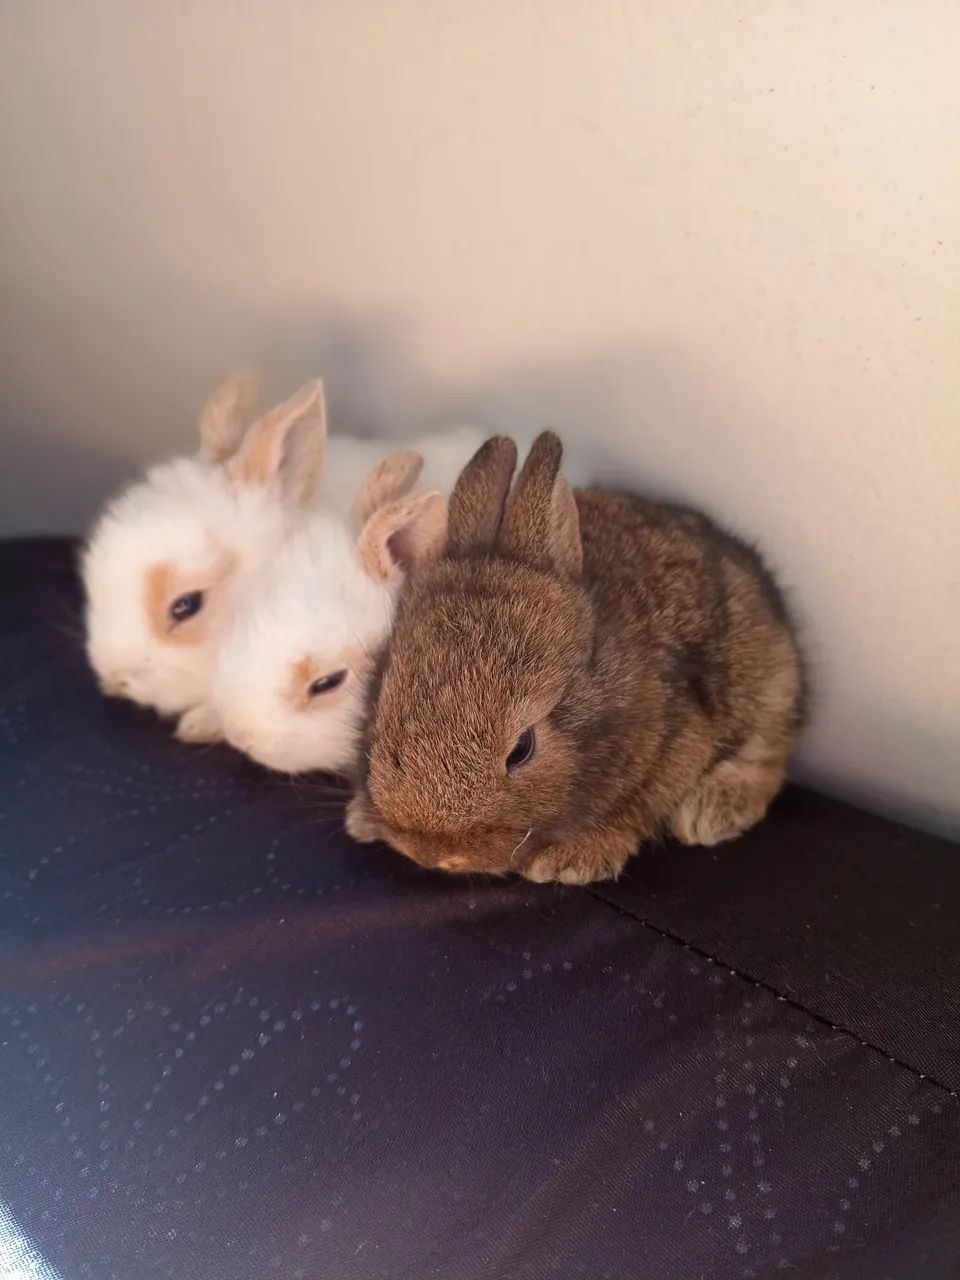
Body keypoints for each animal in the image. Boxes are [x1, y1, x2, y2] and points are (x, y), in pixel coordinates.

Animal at [345, 432, 805, 884]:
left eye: (522, 749)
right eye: (381, 705)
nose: (430, 852)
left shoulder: (683, 740)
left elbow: (635, 811)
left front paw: (572, 859)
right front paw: (361, 819)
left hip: (769, 686)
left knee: (771, 756)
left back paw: (712, 811)